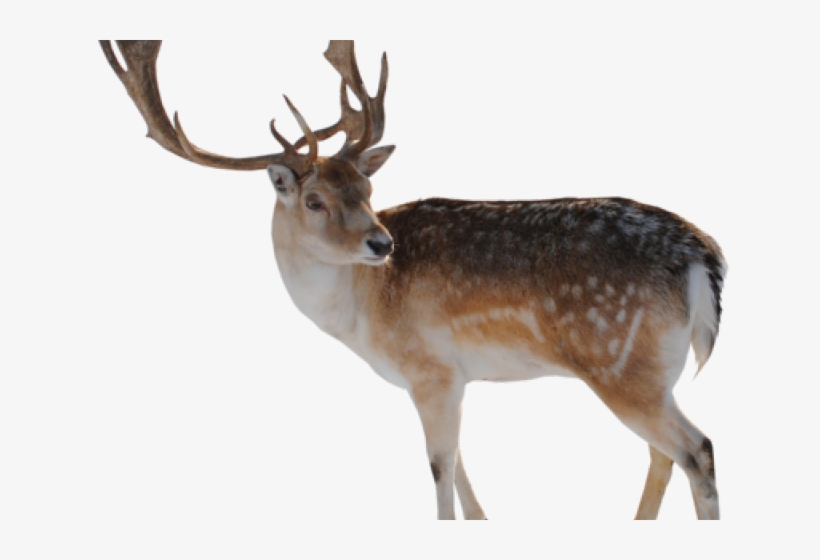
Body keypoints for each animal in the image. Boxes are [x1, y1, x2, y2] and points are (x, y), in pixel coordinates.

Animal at [101, 40, 726, 520]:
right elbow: (461, 466)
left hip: (618, 361)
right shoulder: (449, 378)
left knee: (695, 449)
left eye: (367, 189)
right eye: (314, 199)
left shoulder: (429, 369)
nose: (382, 244)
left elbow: (439, 469)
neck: (362, 317)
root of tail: (702, 255)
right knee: (663, 454)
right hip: (649, 371)